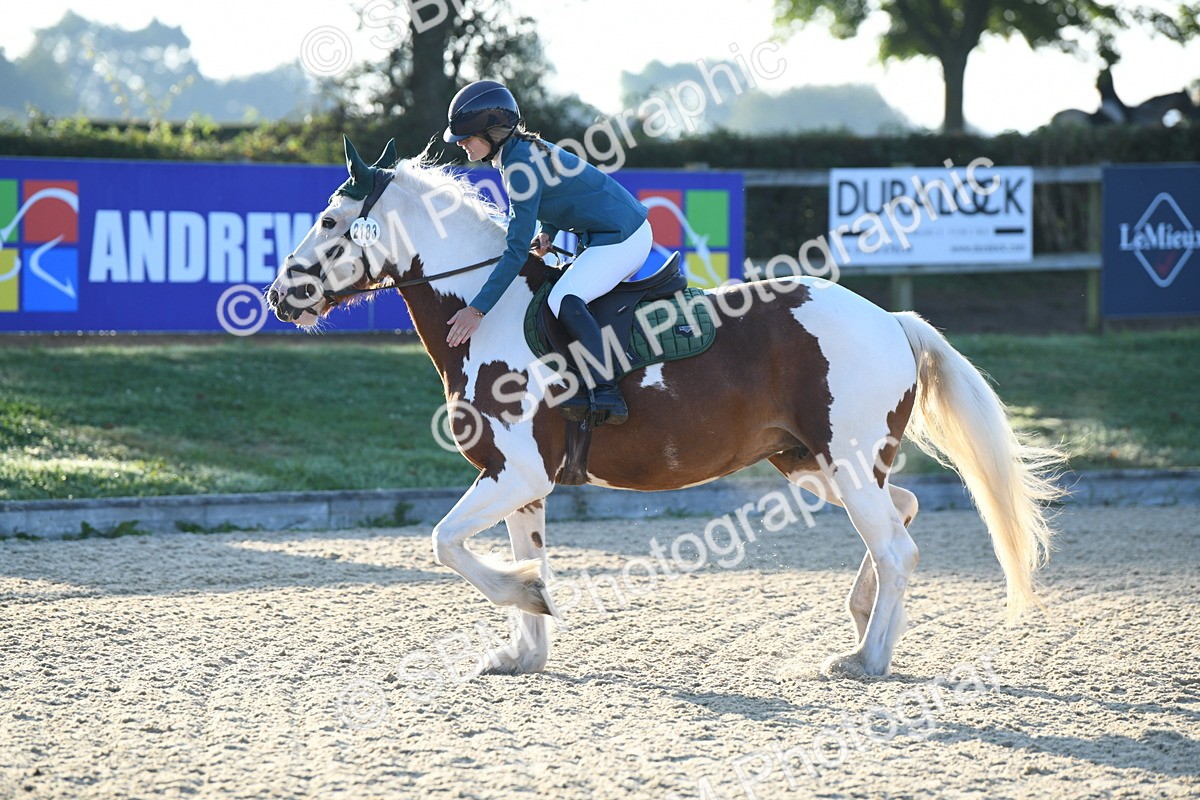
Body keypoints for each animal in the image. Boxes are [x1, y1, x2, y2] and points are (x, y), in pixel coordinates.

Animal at [265, 137, 1064, 679]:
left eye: (331, 222)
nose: (279, 296)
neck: (485, 311)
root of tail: (891, 319)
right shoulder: (522, 484)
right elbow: (516, 555)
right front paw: (526, 643)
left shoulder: (514, 473)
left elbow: (443, 542)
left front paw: (526, 596)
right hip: (813, 464)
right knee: (903, 514)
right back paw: (866, 618)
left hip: (844, 461)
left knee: (898, 547)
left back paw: (864, 659)